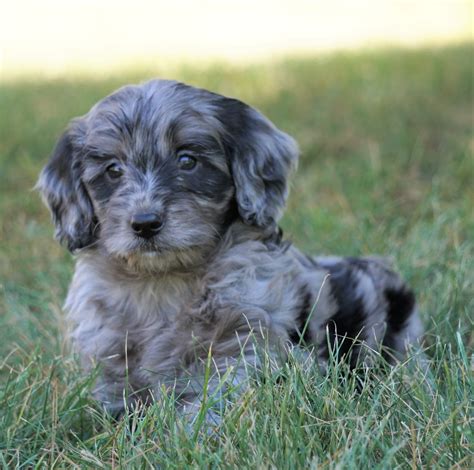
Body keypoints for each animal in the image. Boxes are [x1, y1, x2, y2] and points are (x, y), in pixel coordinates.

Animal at [37, 79, 422, 416]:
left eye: (187, 160)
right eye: (112, 170)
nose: (145, 223)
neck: (162, 281)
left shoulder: (241, 350)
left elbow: (214, 403)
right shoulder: (110, 358)